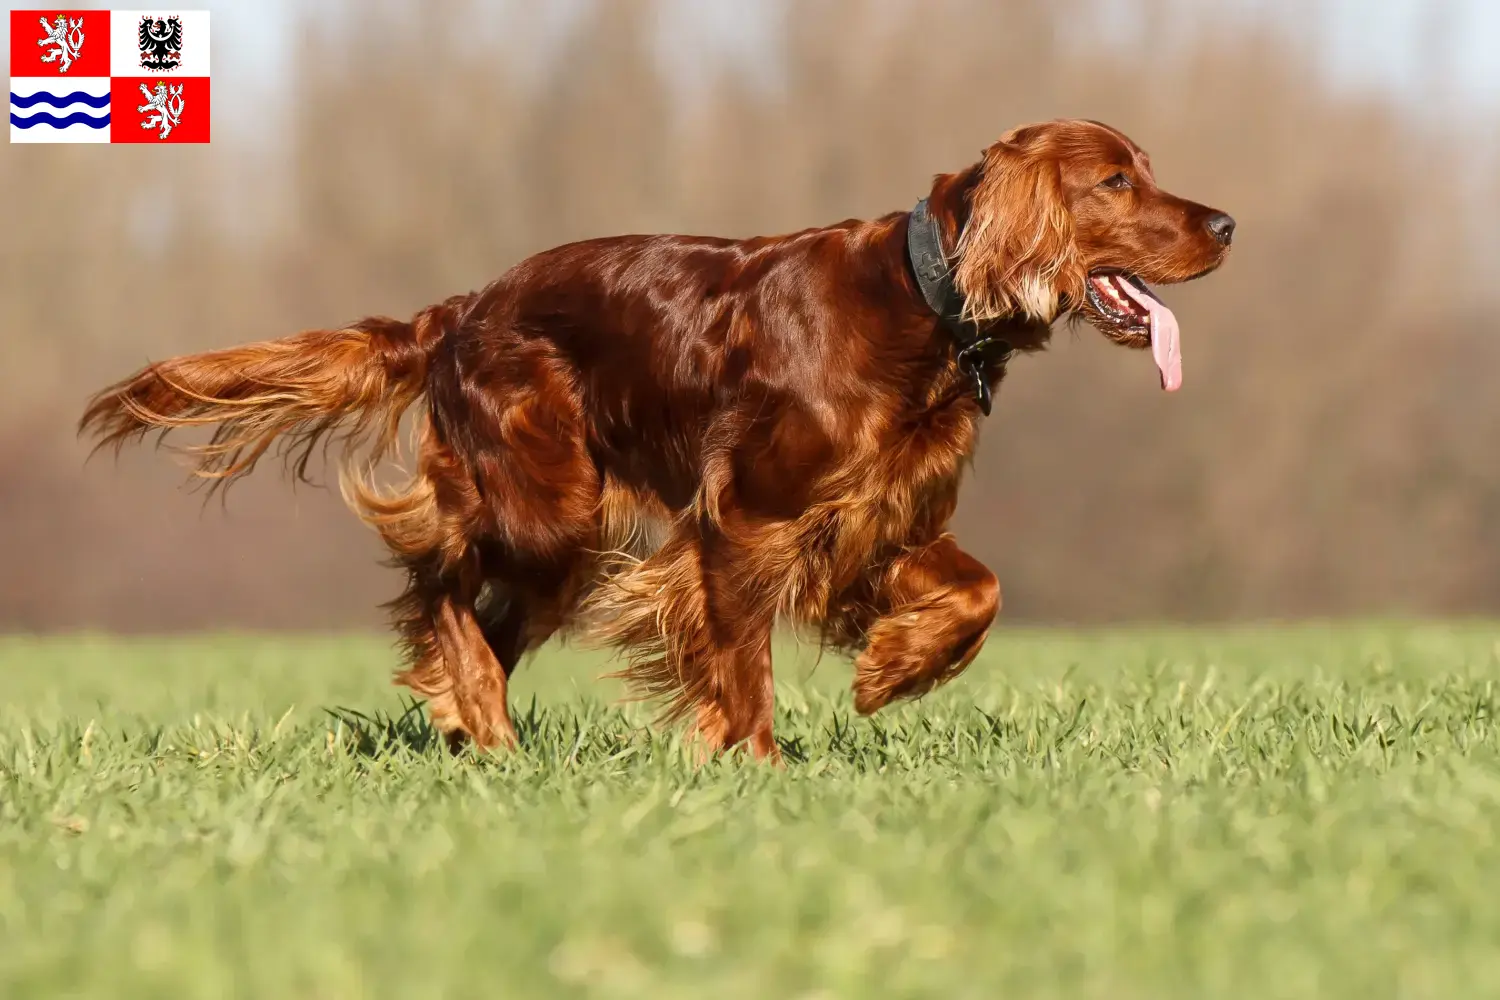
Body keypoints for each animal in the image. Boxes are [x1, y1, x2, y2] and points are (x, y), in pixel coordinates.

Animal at [79, 119, 1230, 758]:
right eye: (1115, 182)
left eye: (1146, 170)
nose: (1226, 224)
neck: (921, 301)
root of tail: (459, 311)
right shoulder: (744, 522)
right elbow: (743, 661)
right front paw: (756, 766)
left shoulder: (880, 522)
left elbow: (980, 591)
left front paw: (890, 673)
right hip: (549, 507)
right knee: (436, 575)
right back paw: (481, 718)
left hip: (565, 539)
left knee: (484, 620)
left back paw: (471, 721)